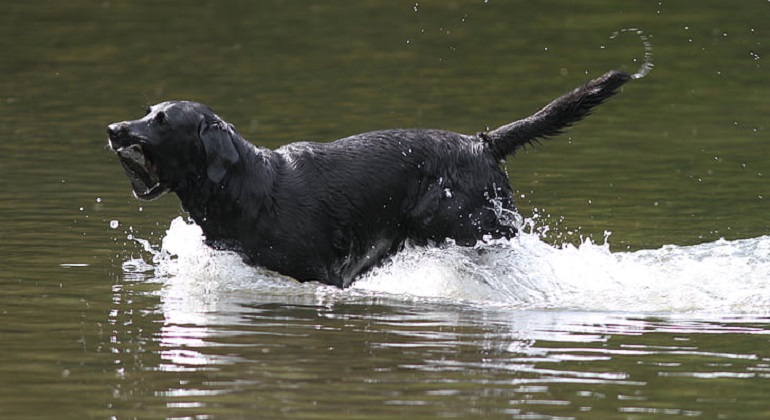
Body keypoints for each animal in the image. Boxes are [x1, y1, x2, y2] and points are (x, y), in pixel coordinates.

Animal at [108, 70, 632, 288]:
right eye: (147, 111)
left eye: (161, 121)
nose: (114, 129)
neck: (245, 188)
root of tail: (482, 142)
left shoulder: (319, 272)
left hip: (454, 222)